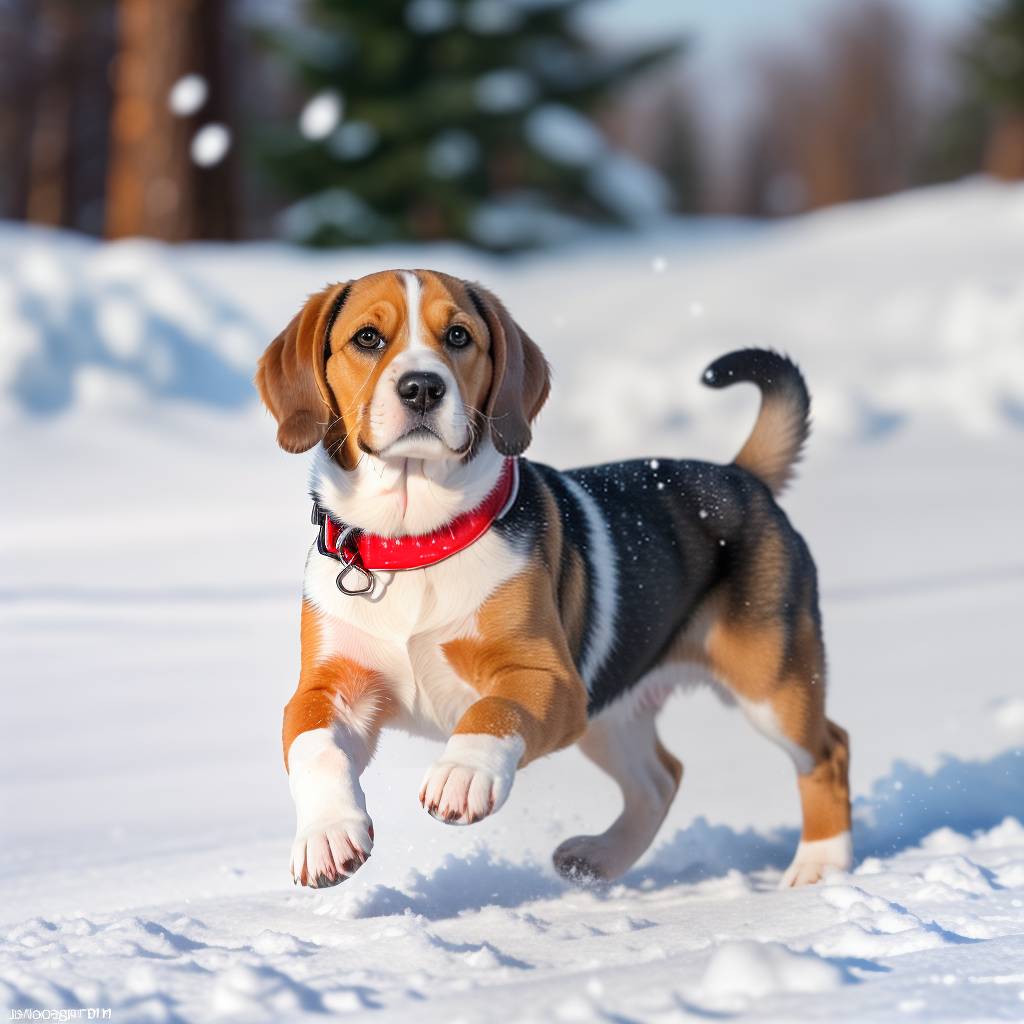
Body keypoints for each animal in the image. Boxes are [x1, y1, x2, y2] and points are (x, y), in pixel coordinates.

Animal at [256, 270, 856, 888]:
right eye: (368, 338)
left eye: (458, 335)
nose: (422, 388)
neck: (416, 540)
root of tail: (742, 475)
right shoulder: (326, 688)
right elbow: (315, 748)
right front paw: (327, 834)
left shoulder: (550, 678)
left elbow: (494, 711)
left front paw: (462, 772)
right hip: (609, 711)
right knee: (661, 777)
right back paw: (600, 858)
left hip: (770, 681)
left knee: (829, 751)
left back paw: (820, 865)